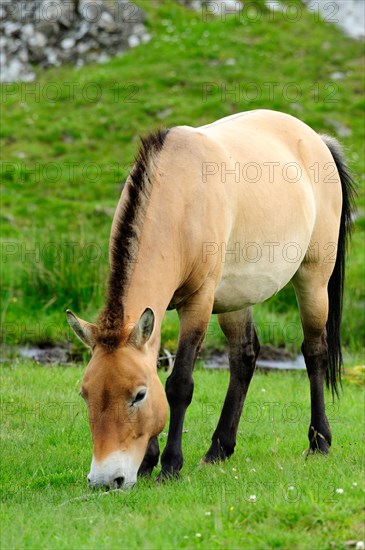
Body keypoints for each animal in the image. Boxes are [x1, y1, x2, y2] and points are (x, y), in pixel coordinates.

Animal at [66, 110, 352, 490]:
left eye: (138, 396)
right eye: (86, 395)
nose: (105, 480)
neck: (179, 198)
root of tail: (318, 140)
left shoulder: (198, 302)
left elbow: (179, 384)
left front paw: (170, 465)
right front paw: (148, 462)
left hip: (313, 278)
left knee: (314, 352)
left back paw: (319, 442)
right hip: (236, 298)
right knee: (244, 356)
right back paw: (219, 449)